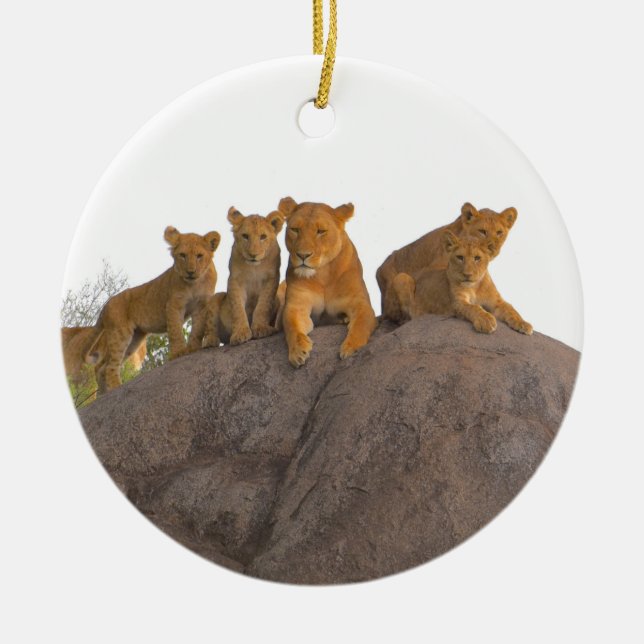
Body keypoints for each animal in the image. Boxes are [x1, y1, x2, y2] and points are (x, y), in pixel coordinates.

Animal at [88, 226, 220, 393]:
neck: (195, 283)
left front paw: (193, 348)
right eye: (182, 255)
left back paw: (104, 395)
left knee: (101, 367)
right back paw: (116, 388)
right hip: (120, 333)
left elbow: (197, 329)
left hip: (134, 340)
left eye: (199, 256)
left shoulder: (202, 304)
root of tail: (105, 305)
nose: (190, 272)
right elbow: (176, 331)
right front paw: (179, 353)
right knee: (108, 367)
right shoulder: (174, 305)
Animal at [203, 206, 284, 347]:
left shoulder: (271, 279)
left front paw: (261, 328)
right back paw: (210, 340)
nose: (253, 255)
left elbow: (263, 305)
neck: (254, 267)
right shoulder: (235, 280)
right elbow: (238, 308)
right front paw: (240, 333)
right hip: (217, 298)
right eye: (245, 236)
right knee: (210, 325)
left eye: (263, 237)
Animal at [278, 197, 377, 367]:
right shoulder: (296, 305)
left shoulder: (361, 303)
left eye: (321, 231)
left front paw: (351, 348)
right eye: (295, 229)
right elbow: (293, 327)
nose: (303, 255)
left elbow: (361, 325)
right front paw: (298, 352)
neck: (322, 275)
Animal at [390, 230, 533, 335]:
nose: (467, 274)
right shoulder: (458, 303)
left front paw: (523, 323)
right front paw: (486, 320)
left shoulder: (496, 301)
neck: (475, 287)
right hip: (401, 277)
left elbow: (511, 309)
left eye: (477, 258)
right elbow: (474, 307)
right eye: (460, 257)